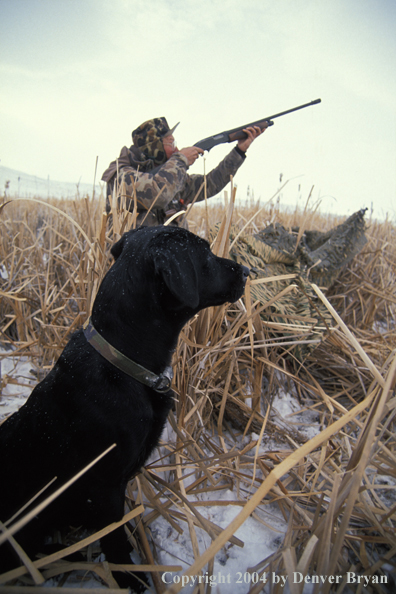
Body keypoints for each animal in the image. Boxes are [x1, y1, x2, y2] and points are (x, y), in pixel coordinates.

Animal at [0, 225, 248, 588]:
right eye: (204, 252)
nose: (247, 271)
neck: (123, 362)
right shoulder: (104, 487)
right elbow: (114, 537)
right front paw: (130, 577)